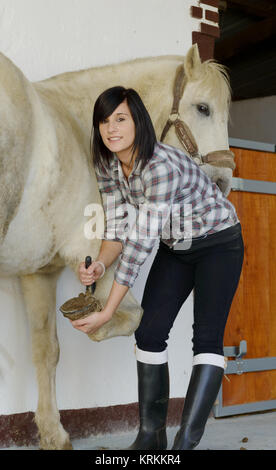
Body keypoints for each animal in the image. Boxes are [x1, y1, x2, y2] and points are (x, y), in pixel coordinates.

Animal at [0, 46, 233, 450]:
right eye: (203, 108)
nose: (224, 182)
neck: (76, 129)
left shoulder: (39, 273)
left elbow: (46, 351)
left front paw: (53, 433)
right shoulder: (92, 253)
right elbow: (131, 316)